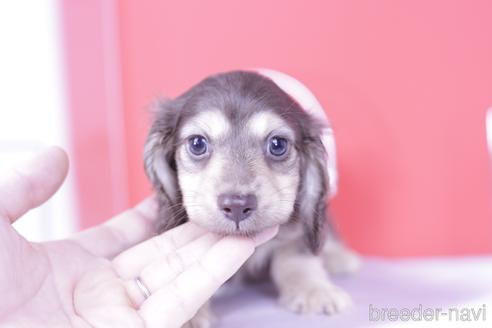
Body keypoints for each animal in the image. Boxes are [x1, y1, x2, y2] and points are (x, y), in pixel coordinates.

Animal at [144, 68, 360, 326]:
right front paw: (187, 315)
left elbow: (296, 254)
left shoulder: (298, 227)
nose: (237, 206)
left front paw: (314, 290)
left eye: (277, 144)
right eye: (197, 143)